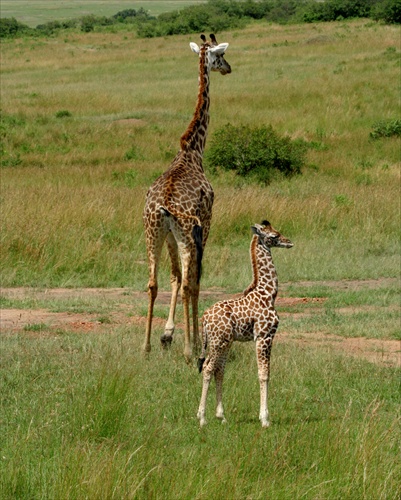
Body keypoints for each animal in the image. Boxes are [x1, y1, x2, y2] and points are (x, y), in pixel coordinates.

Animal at [141, 34, 230, 360]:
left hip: (154, 232)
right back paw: (191, 349)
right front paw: (188, 339)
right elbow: (193, 280)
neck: (192, 150)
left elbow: (175, 277)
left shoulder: (169, 235)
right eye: (220, 56)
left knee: (153, 283)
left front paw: (167, 334)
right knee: (191, 283)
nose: (228, 68)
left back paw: (146, 346)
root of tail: (165, 205)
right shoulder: (207, 221)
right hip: (185, 235)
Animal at [196, 221, 292, 428]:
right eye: (274, 236)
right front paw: (265, 419)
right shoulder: (264, 336)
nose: (289, 242)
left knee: (218, 370)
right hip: (218, 343)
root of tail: (204, 318)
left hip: (225, 343)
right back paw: (202, 418)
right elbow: (264, 374)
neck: (269, 294)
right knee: (208, 368)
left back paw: (221, 416)